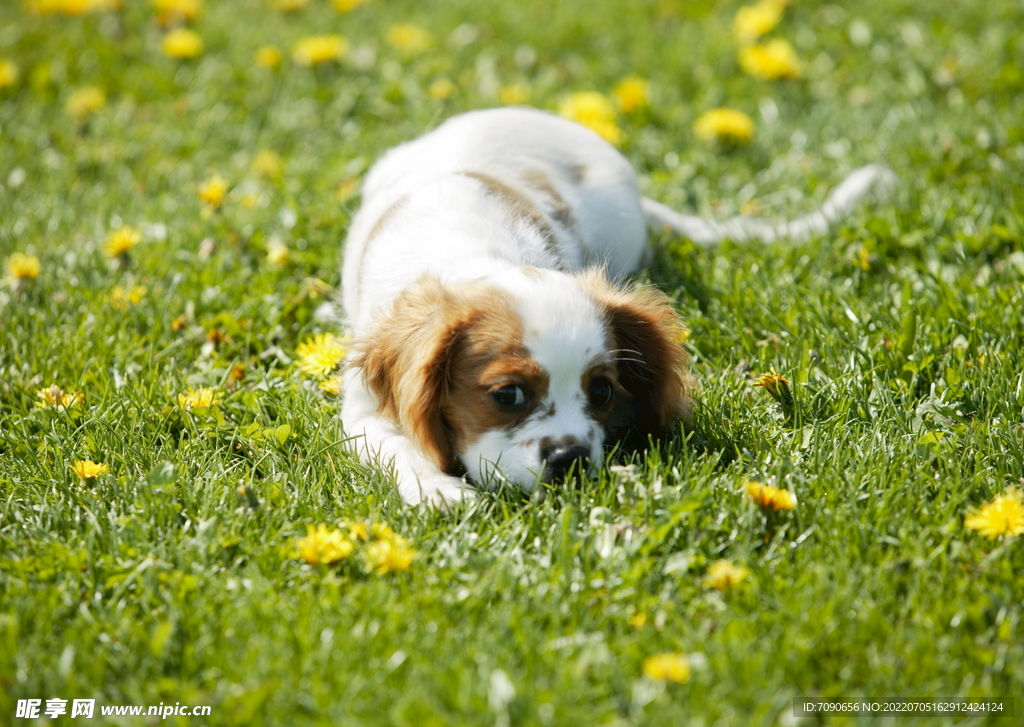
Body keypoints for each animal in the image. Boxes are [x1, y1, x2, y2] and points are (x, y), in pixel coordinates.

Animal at [339, 108, 892, 507]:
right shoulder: (362, 407)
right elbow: (396, 446)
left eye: (602, 391)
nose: (570, 459)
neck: (475, 250)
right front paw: (439, 490)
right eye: (508, 395)